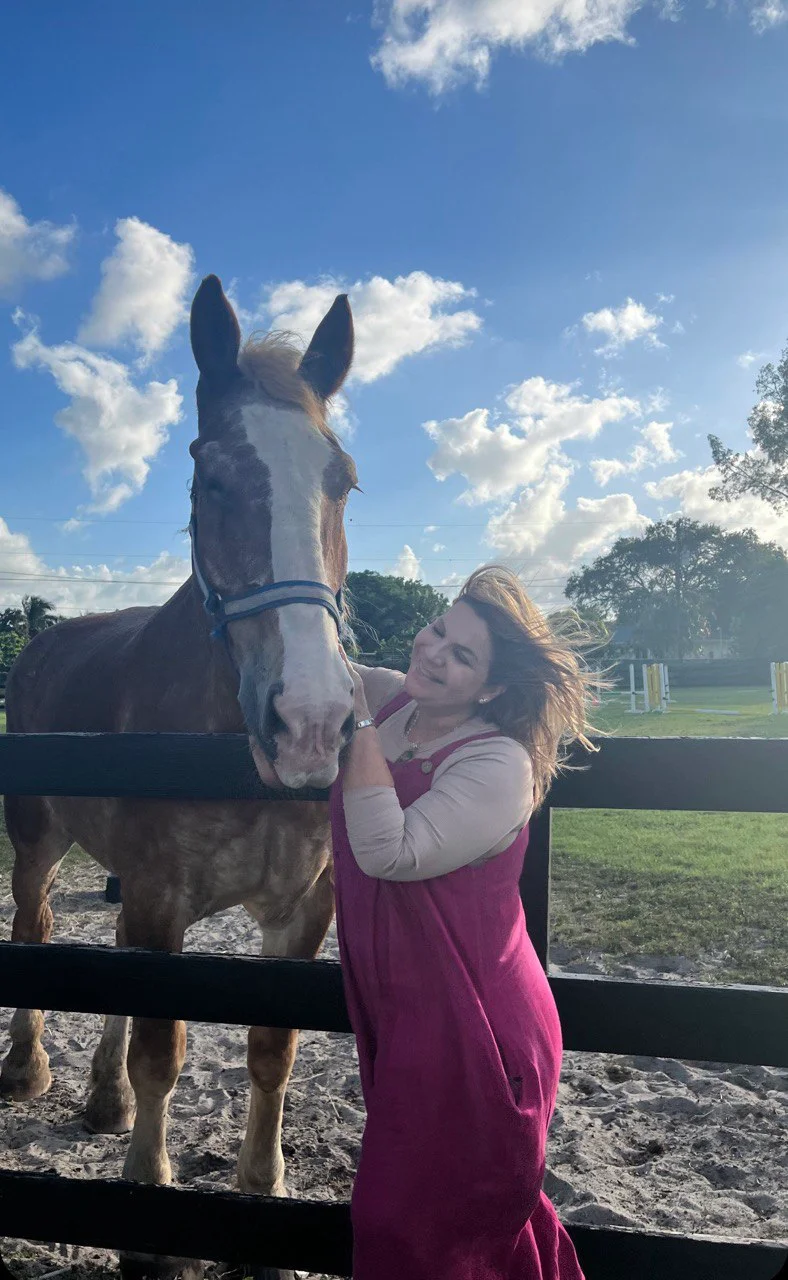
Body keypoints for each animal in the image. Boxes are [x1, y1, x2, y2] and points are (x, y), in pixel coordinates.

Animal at [1, 275, 358, 1279]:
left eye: (342, 479)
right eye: (212, 477)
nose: (310, 721)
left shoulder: (301, 909)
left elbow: (271, 1048)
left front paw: (262, 1198)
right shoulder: (161, 896)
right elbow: (163, 1049)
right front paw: (150, 1221)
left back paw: (101, 1098)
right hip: (38, 842)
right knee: (35, 928)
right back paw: (28, 1068)